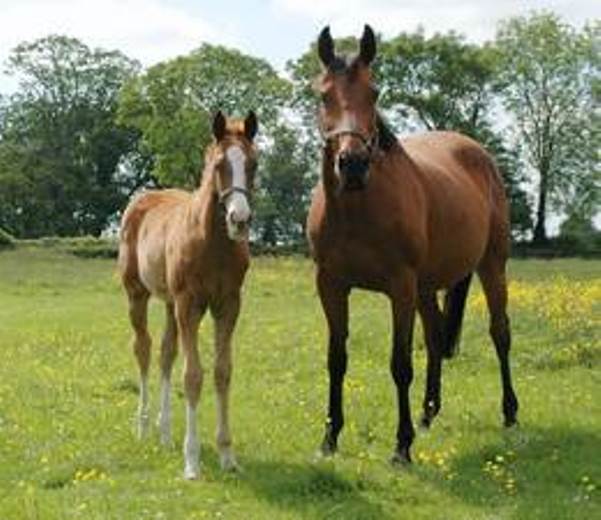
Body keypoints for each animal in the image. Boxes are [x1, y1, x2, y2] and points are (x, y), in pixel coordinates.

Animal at [118, 110, 258, 479]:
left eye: (253, 163)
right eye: (219, 164)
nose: (240, 219)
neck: (213, 244)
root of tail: (141, 200)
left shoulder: (228, 305)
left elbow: (222, 372)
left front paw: (227, 455)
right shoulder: (189, 304)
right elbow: (193, 376)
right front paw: (192, 461)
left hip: (169, 303)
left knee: (166, 353)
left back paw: (165, 432)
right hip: (137, 294)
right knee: (143, 349)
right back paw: (143, 427)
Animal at [307, 25, 519, 465]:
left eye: (374, 93)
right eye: (323, 94)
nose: (353, 165)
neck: (357, 209)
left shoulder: (400, 286)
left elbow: (400, 363)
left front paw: (401, 446)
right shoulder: (331, 285)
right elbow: (337, 360)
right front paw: (330, 437)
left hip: (491, 266)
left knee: (500, 333)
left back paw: (509, 414)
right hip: (427, 287)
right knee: (436, 339)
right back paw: (427, 413)